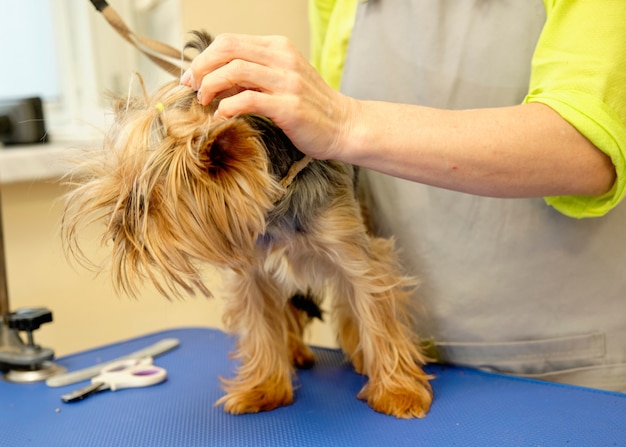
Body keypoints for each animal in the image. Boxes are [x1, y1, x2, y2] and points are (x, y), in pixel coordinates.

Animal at [63, 31, 432, 420]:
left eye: (143, 204)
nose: (117, 227)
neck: (278, 209)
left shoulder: (356, 255)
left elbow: (376, 314)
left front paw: (398, 392)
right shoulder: (253, 270)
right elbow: (260, 326)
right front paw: (264, 390)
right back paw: (294, 353)